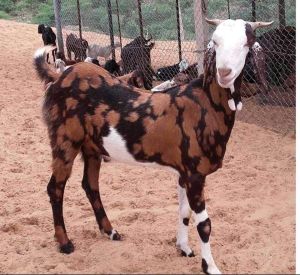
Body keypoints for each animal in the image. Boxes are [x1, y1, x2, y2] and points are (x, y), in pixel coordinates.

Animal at [34, 18, 274, 274]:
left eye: (247, 42)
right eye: (215, 42)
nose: (225, 73)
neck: (205, 104)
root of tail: (59, 76)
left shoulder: (184, 172)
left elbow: (184, 211)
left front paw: (183, 247)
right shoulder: (195, 173)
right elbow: (205, 224)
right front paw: (209, 266)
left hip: (92, 148)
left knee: (90, 185)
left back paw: (110, 231)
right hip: (64, 140)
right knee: (55, 188)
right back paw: (64, 242)